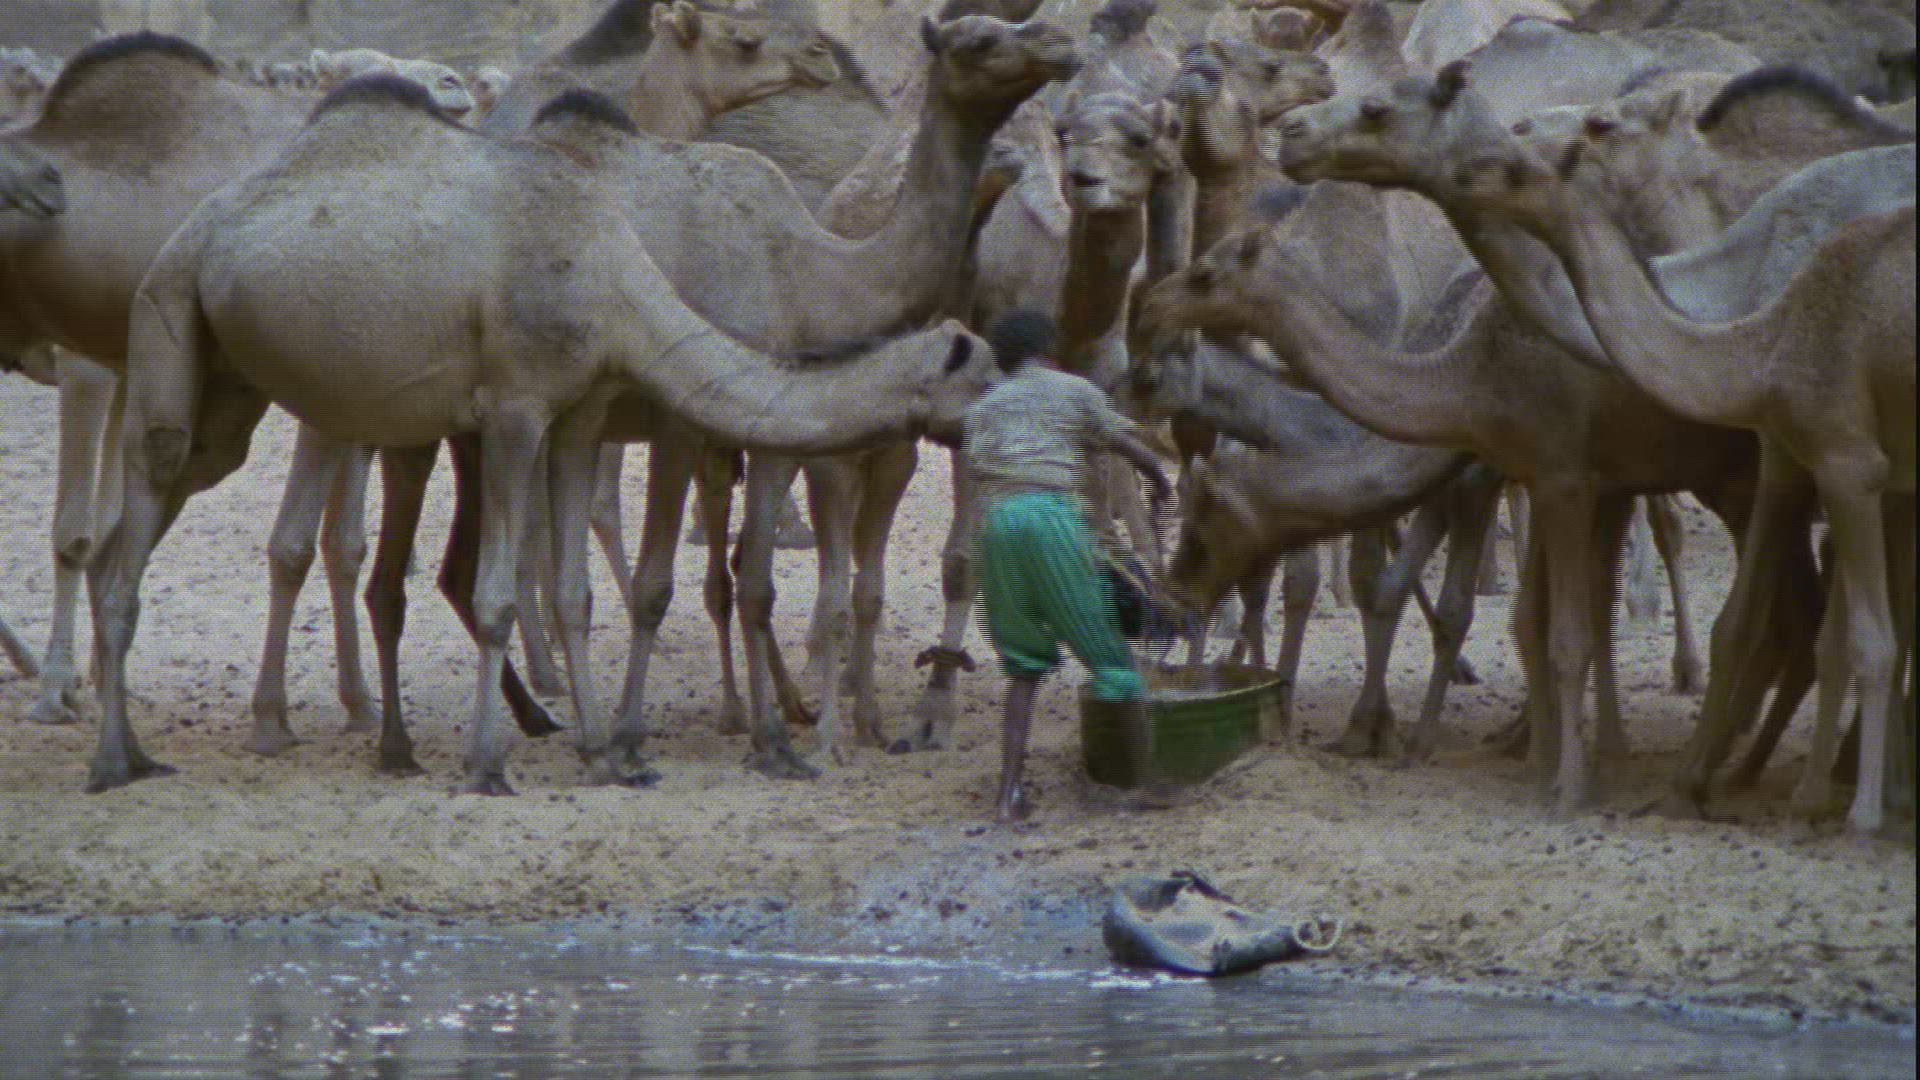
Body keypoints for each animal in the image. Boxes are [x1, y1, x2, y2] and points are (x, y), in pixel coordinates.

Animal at [87, 77, 999, 795]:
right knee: (148, 499)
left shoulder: (579, 414)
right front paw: (493, 764)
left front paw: (603, 753)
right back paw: (117, 759)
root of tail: (196, 223)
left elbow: (574, 592)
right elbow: (508, 593)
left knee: (147, 522)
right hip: (166, 308)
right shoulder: (518, 409)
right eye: (984, 379)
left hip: (233, 386)